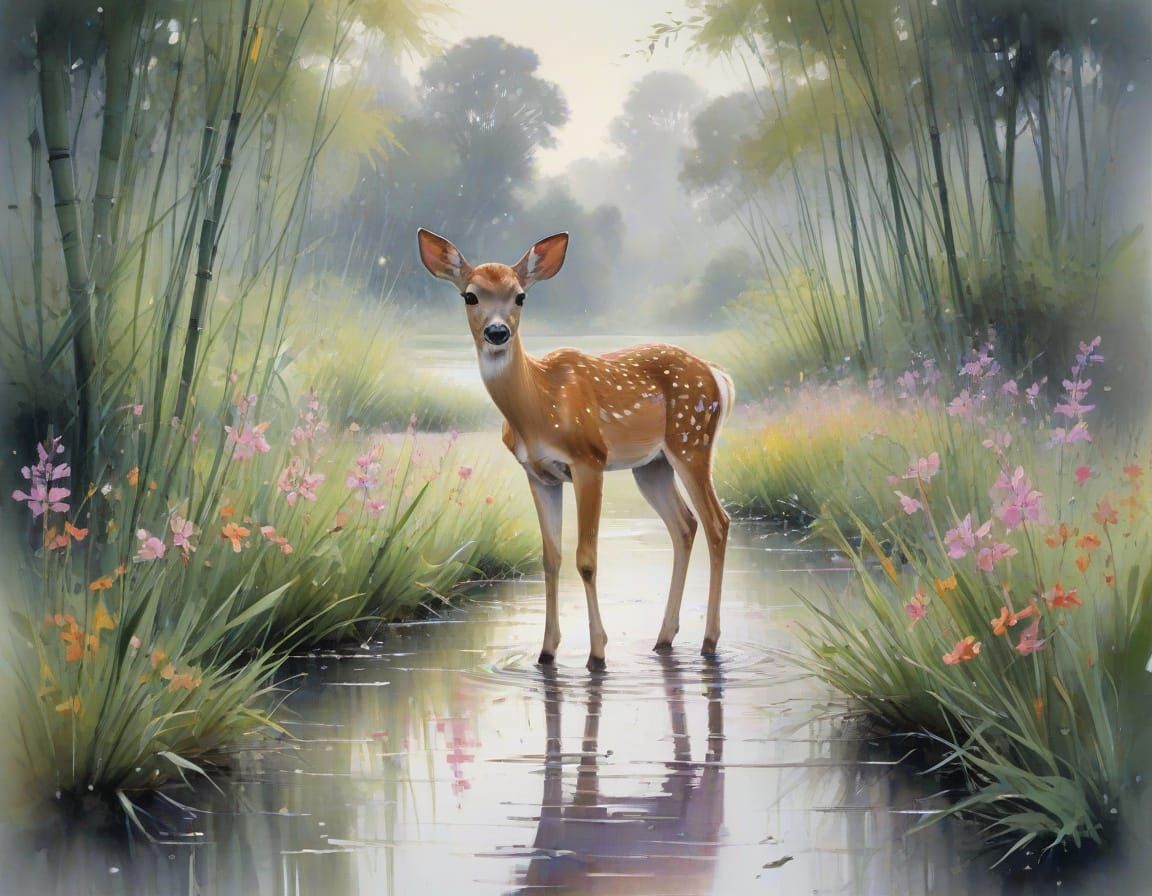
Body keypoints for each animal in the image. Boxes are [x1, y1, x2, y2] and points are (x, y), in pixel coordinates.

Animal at [417, 229, 734, 672]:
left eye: (520, 296)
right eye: (470, 296)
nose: (497, 332)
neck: (539, 404)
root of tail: (717, 375)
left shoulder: (590, 460)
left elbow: (587, 558)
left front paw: (597, 653)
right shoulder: (539, 474)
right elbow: (551, 558)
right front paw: (546, 652)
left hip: (692, 441)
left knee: (717, 523)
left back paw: (708, 641)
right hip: (651, 466)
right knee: (684, 525)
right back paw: (664, 638)